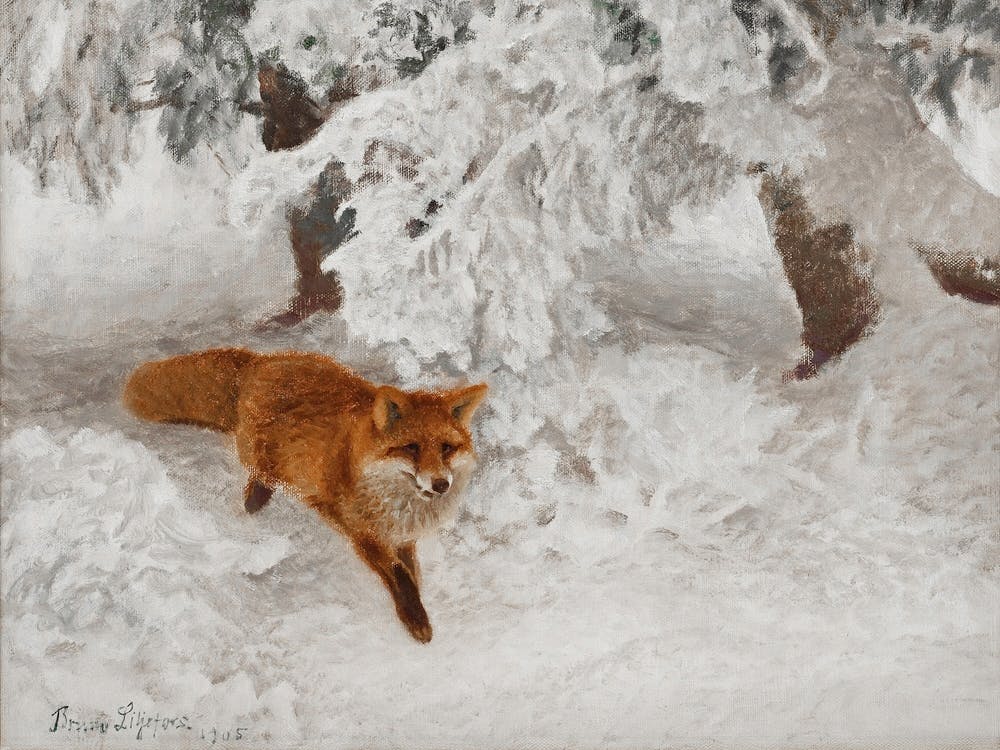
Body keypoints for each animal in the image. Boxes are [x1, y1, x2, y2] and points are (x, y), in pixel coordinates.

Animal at [123, 348, 488, 643]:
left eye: (447, 448)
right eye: (411, 448)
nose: (441, 484)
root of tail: (261, 361)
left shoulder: (400, 535)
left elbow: (412, 573)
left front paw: (417, 604)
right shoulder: (363, 533)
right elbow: (400, 577)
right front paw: (416, 621)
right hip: (264, 455)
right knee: (260, 475)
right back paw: (255, 502)